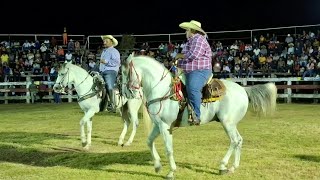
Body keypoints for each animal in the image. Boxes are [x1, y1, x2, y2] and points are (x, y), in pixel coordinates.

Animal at [121, 53, 276, 179]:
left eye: (123, 72)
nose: (126, 94)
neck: (163, 90)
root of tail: (244, 89)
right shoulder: (158, 125)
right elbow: (149, 141)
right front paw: (158, 166)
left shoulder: (165, 126)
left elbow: (168, 149)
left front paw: (171, 172)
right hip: (232, 123)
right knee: (239, 140)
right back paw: (233, 167)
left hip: (227, 123)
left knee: (234, 141)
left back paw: (222, 166)